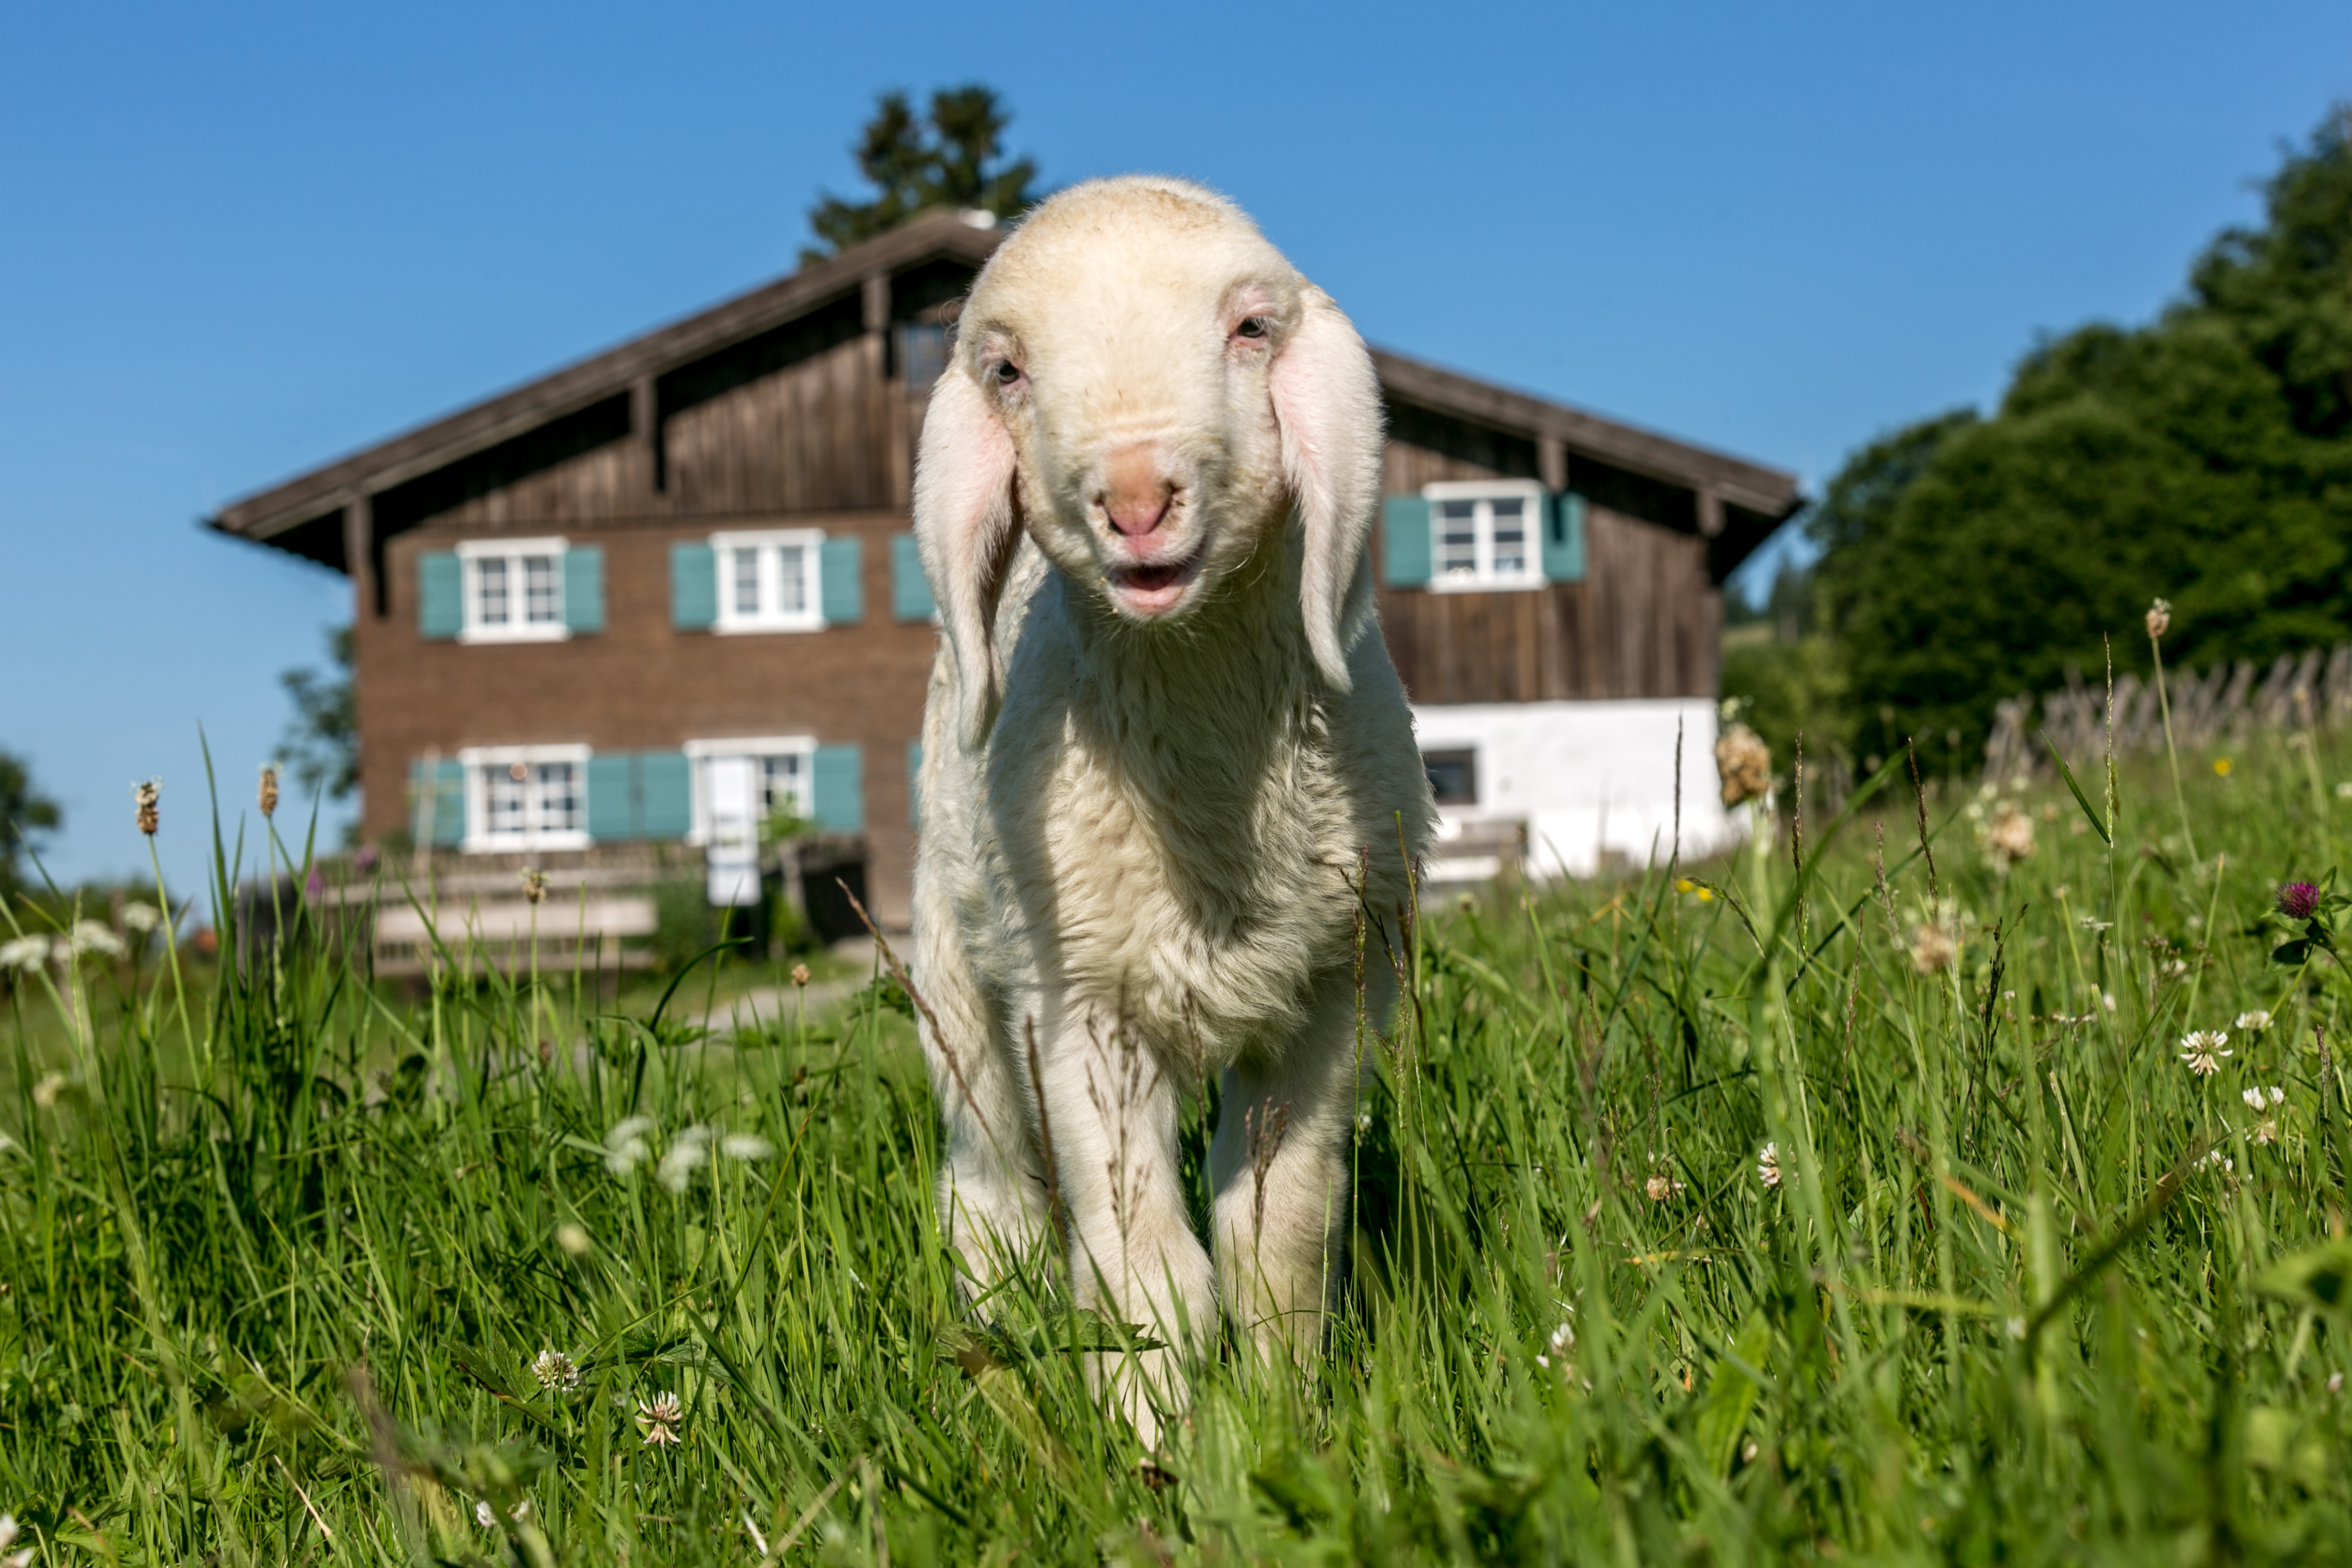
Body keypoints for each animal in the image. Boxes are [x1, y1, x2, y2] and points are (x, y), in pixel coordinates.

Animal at [908, 175, 1430, 1448]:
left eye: (1250, 328)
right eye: (1006, 370)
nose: (1137, 498)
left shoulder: (1330, 988)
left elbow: (1273, 1238)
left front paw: (1284, 1416)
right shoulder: (1080, 1007)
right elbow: (1142, 1271)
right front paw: (1152, 1438)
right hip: (955, 965)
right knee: (986, 1176)